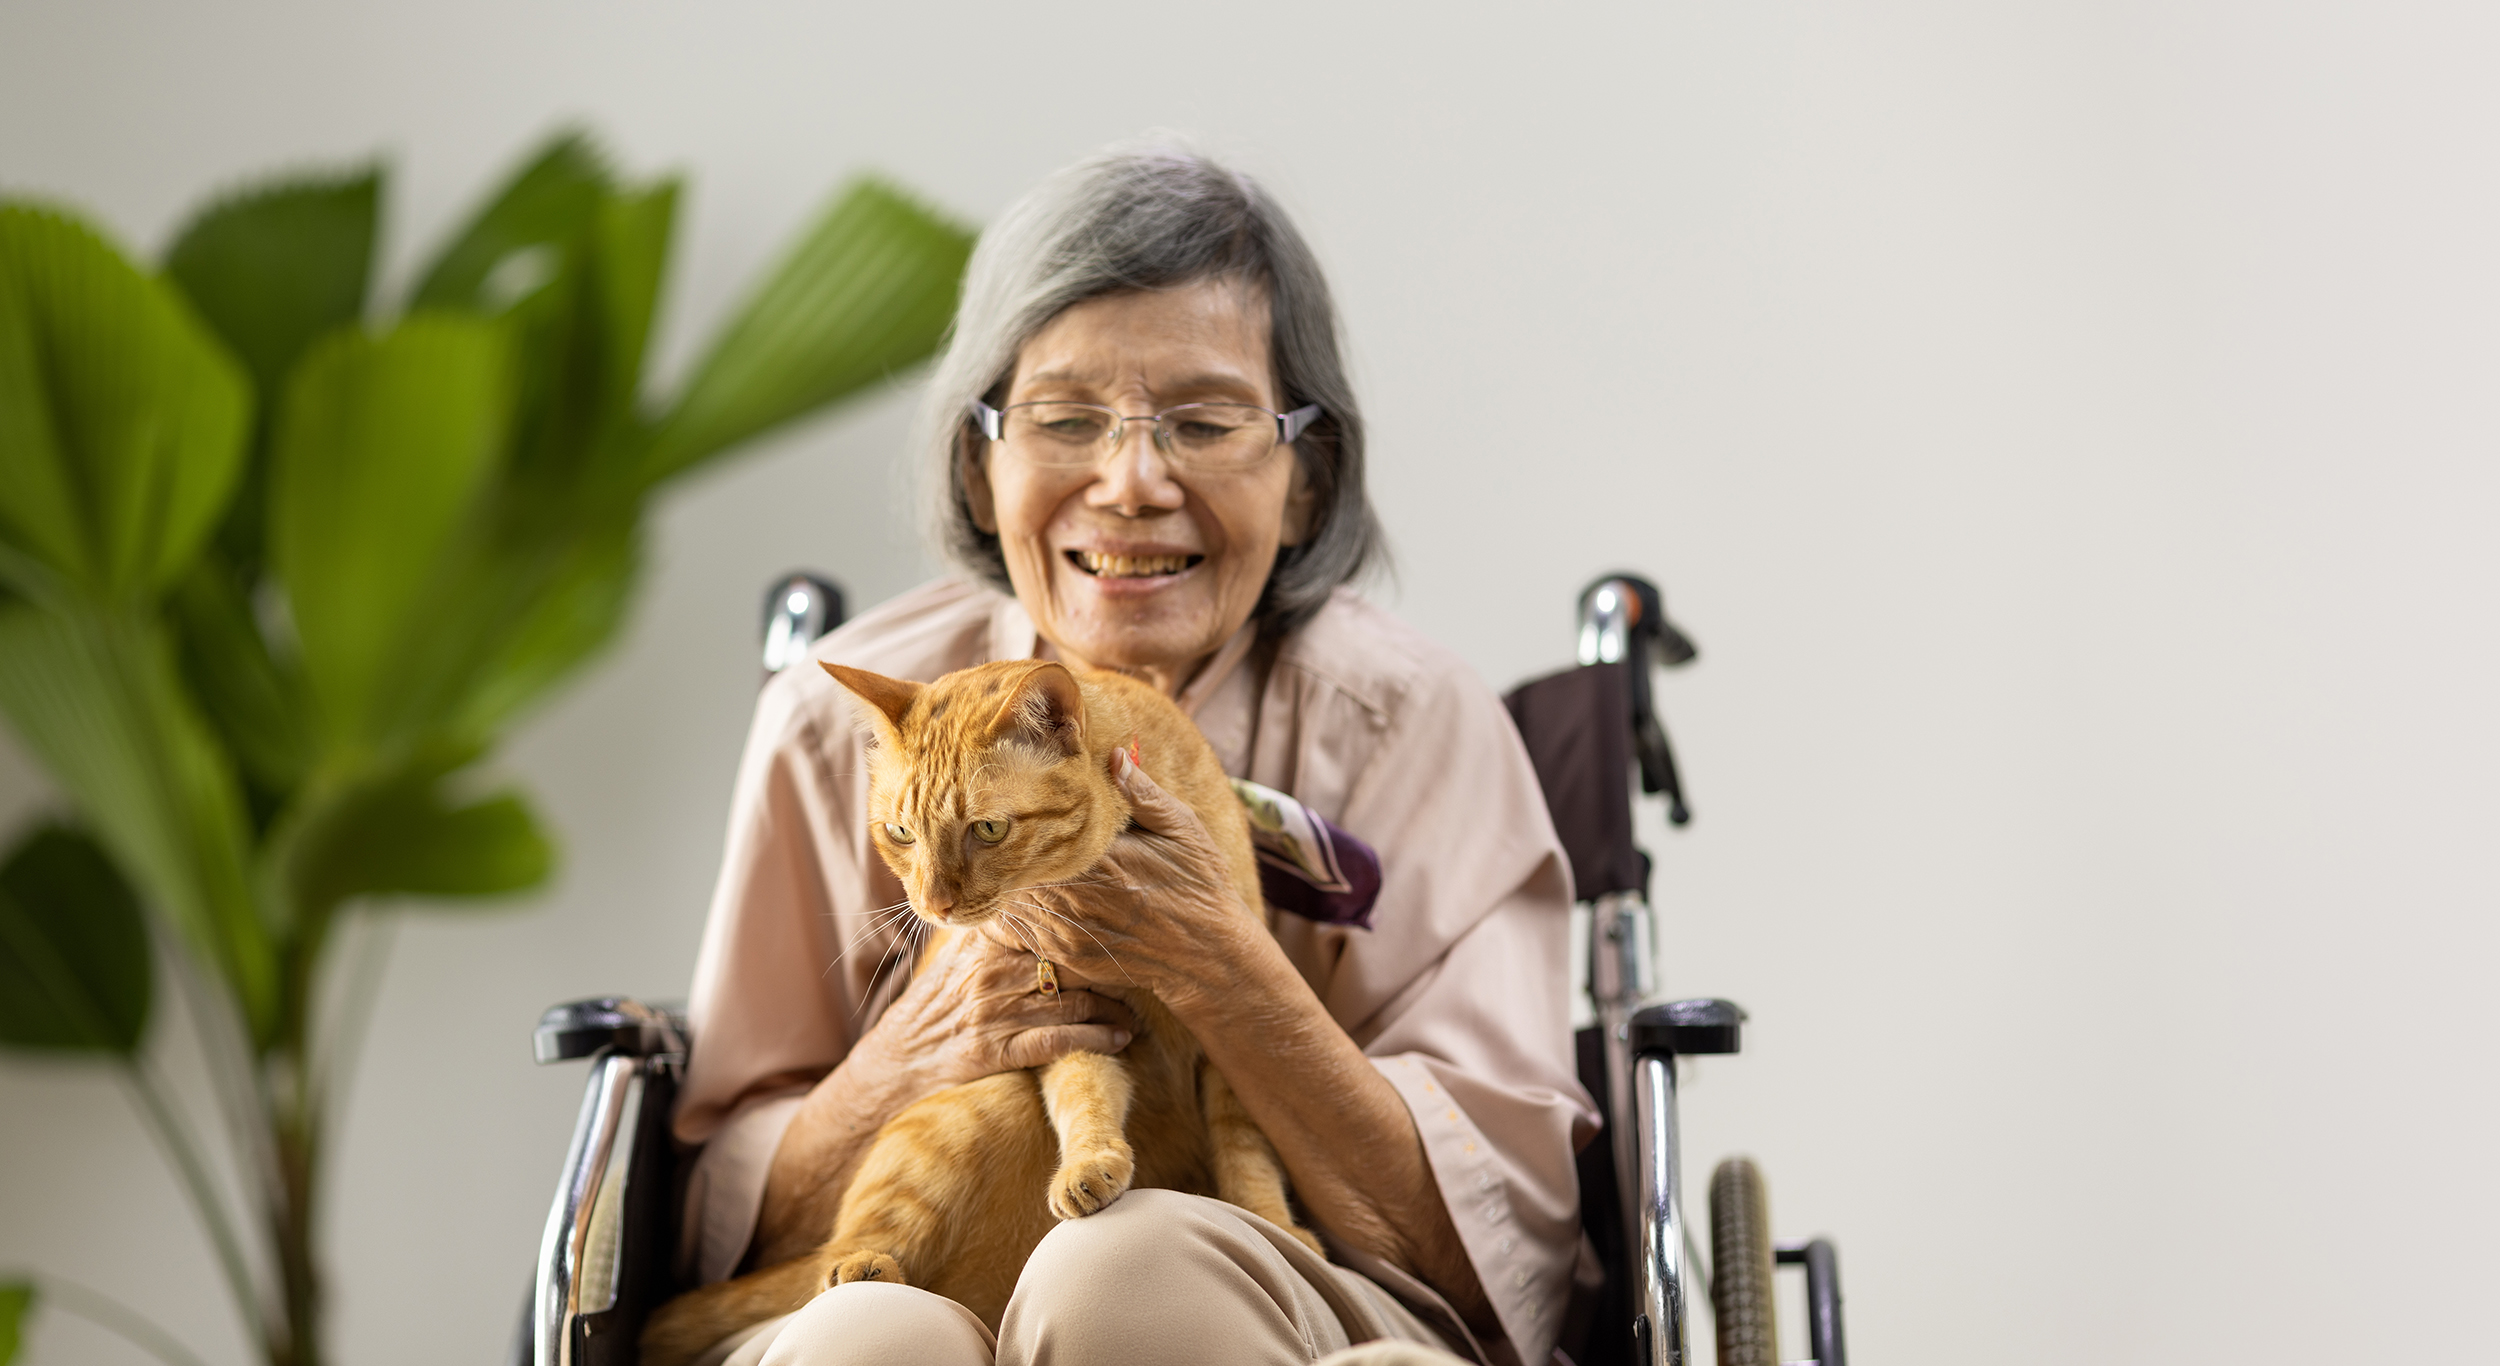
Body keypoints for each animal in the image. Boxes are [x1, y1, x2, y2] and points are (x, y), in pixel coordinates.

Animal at [640, 660, 1310, 1360]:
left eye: (988, 829)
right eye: (901, 833)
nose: (933, 905)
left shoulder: (1233, 1021)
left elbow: (1246, 1148)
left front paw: (1273, 1227)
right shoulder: (1069, 1022)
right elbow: (1085, 1093)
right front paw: (1089, 1165)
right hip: (977, 1106)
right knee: (837, 1266)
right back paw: (863, 1267)